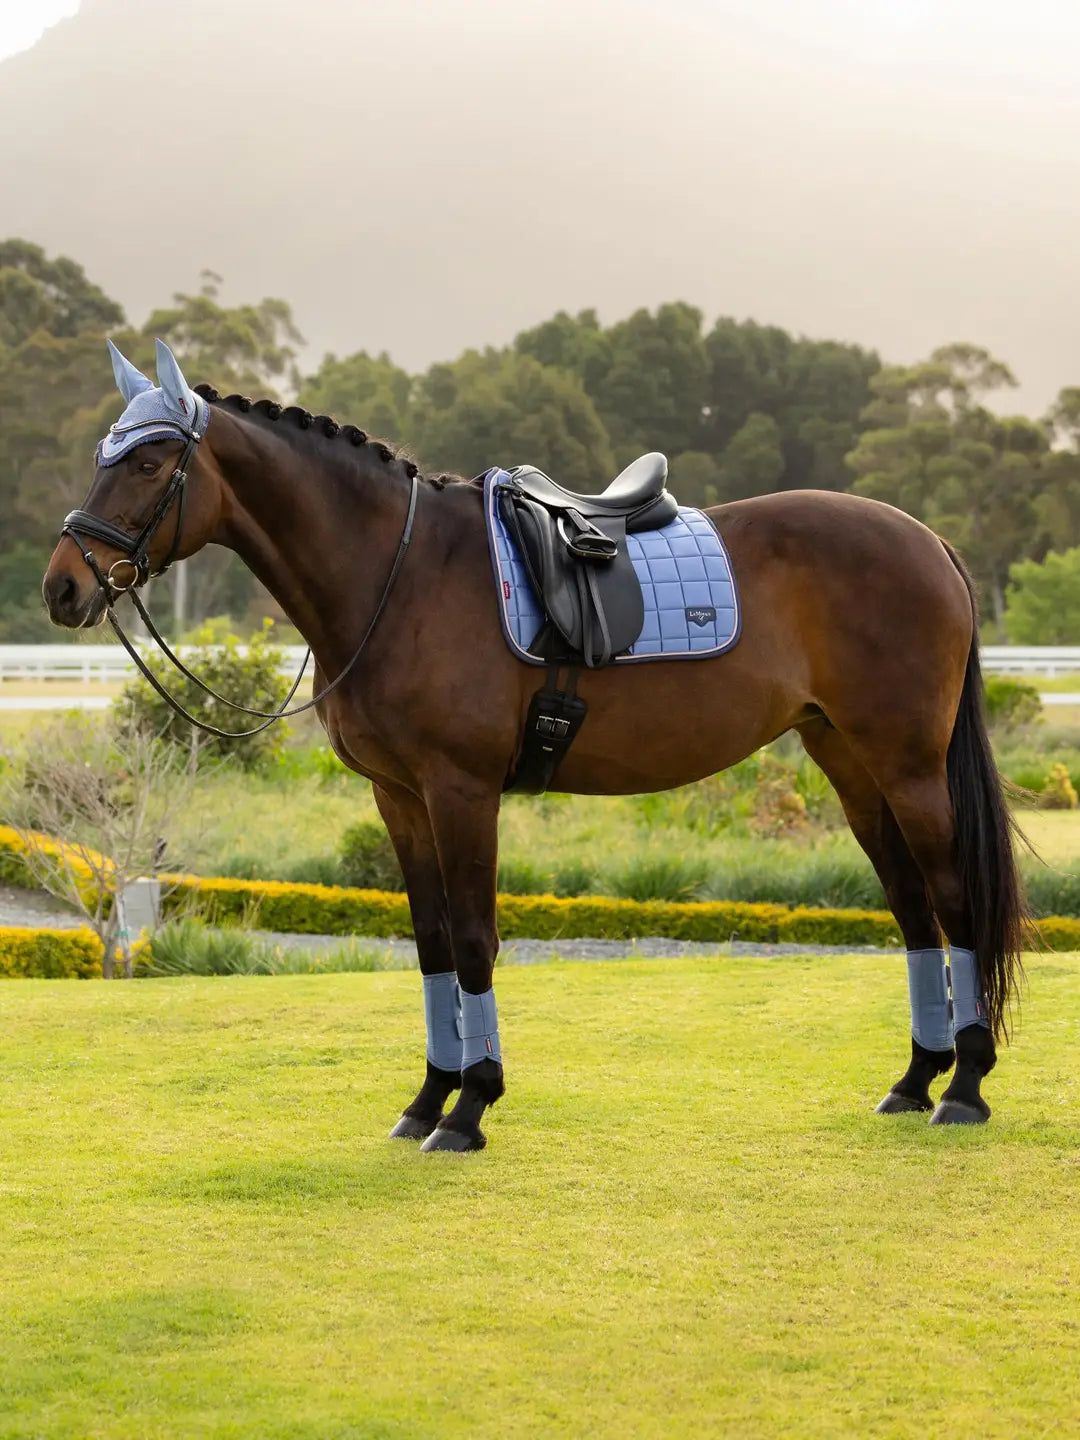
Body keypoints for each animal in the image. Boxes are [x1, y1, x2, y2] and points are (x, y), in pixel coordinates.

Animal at [42, 340, 1029, 1151]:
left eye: (150, 460)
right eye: (103, 457)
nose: (62, 587)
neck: (398, 575)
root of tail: (928, 540)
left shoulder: (461, 791)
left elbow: (477, 940)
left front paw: (471, 1107)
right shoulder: (398, 798)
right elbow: (433, 945)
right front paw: (426, 1101)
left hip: (908, 766)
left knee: (955, 902)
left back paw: (965, 1089)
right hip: (850, 763)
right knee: (913, 910)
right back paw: (915, 1079)